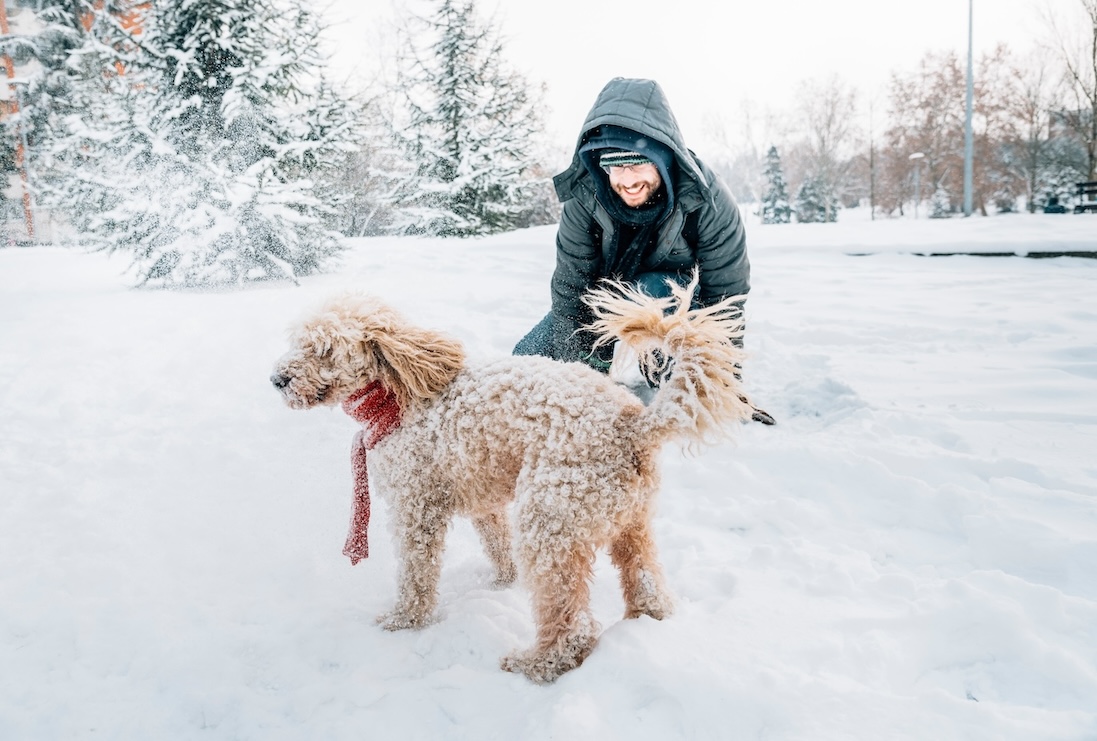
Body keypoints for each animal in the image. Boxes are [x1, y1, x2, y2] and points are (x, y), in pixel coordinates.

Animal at [274, 278, 754, 685]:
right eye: (297, 343)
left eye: (323, 350)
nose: (278, 379)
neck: (396, 399)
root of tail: (632, 425)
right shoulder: (483, 499)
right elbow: (497, 543)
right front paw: (503, 581)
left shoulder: (416, 509)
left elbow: (415, 574)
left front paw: (403, 621)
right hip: (631, 523)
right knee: (648, 586)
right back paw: (643, 624)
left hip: (550, 524)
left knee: (573, 626)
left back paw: (537, 663)